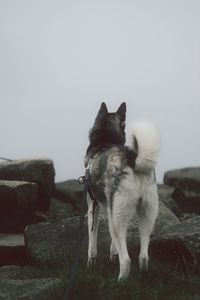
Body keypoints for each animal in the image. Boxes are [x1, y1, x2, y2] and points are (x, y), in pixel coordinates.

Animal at [85, 102, 160, 280]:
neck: (105, 140)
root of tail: (132, 158)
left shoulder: (92, 207)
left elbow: (92, 242)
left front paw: (91, 263)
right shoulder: (108, 209)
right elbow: (114, 245)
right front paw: (113, 254)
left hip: (118, 217)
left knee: (126, 260)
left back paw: (121, 281)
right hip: (146, 214)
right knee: (143, 255)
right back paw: (143, 274)